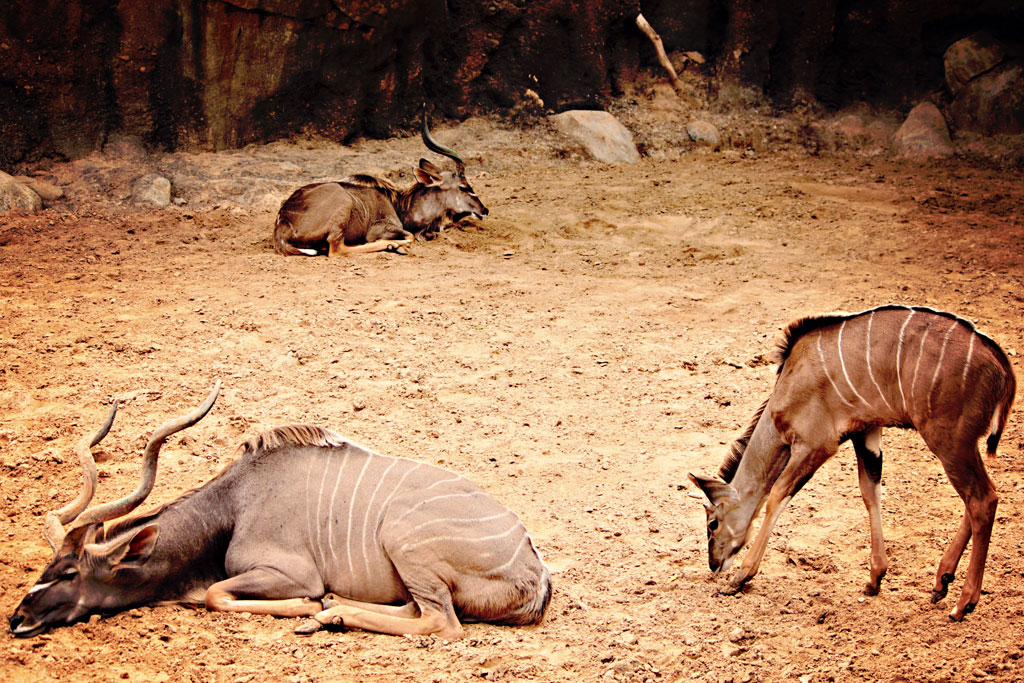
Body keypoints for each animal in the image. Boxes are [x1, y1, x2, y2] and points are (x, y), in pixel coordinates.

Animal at [9, 382, 551, 639]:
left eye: (70, 574)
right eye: (46, 569)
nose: (17, 618)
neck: (234, 504)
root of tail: (535, 574)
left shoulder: (287, 573)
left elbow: (216, 596)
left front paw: (307, 608)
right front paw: (320, 608)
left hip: (404, 542)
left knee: (440, 622)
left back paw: (326, 614)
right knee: (414, 609)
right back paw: (335, 610)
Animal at [273, 113, 488, 256]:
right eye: (463, 186)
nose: (484, 210)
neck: (401, 205)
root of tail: (282, 223)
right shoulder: (380, 229)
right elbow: (409, 236)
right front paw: (395, 245)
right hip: (342, 206)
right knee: (337, 249)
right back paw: (392, 246)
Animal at [689, 305, 1016, 620]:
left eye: (712, 523)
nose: (714, 563)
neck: (788, 385)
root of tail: (1002, 369)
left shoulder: (816, 444)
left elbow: (777, 495)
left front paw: (741, 577)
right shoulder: (866, 431)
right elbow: (870, 491)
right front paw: (875, 578)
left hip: (949, 441)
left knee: (983, 499)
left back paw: (964, 604)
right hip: (960, 445)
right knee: (980, 498)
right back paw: (942, 581)